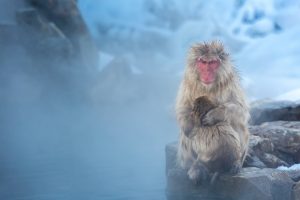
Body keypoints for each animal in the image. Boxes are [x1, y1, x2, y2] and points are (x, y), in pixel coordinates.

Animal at [175, 40, 250, 183]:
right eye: (203, 63)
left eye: (212, 63)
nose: (207, 72)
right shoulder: (188, 82)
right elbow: (183, 109)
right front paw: (189, 126)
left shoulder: (231, 82)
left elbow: (240, 110)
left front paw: (215, 114)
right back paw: (195, 168)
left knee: (237, 123)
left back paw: (236, 163)